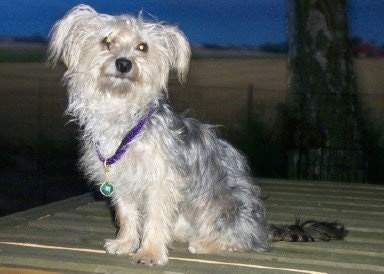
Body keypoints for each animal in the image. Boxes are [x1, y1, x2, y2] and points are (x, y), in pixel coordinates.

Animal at [49, 4, 346, 266]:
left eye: (143, 47)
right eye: (106, 41)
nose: (123, 63)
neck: (122, 114)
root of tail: (263, 226)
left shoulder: (162, 182)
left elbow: (155, 219)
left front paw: (151, 252)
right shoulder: (122, 183)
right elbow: (128, 215)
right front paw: (126, 243)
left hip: (222, 207)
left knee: (244, 240)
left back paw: (206, 243)